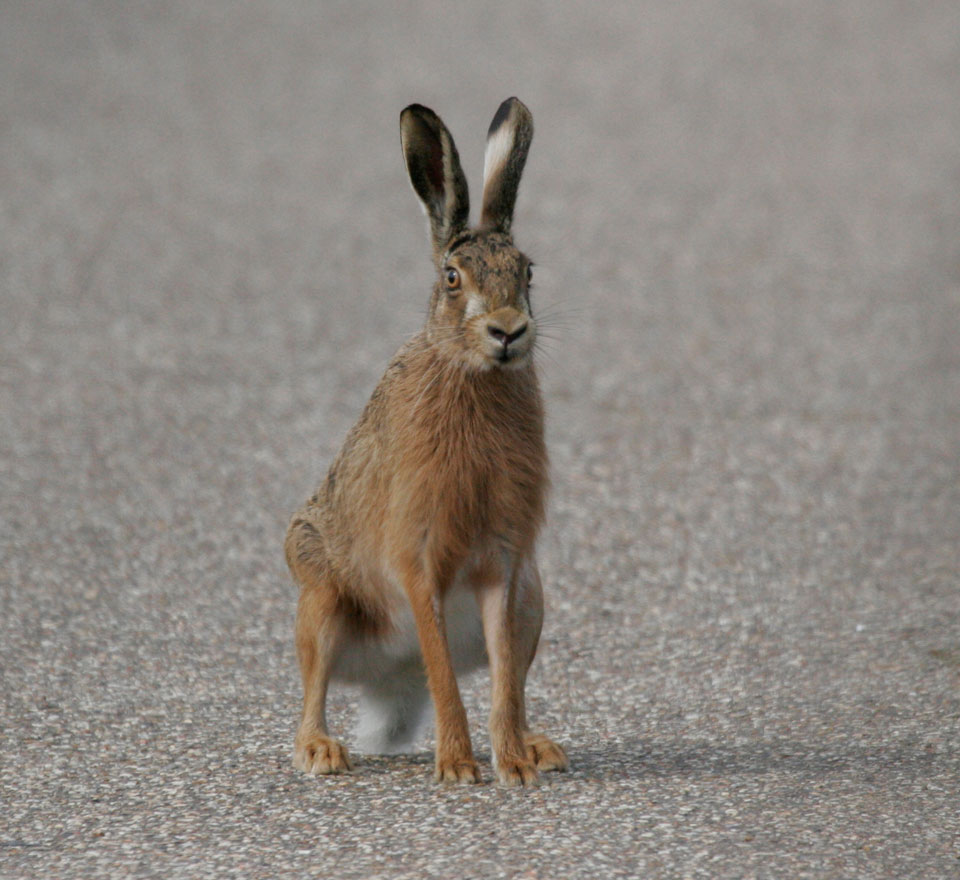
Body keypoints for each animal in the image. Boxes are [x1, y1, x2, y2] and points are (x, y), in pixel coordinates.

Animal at [284, 98, 568, 786]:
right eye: (452, 277)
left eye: (527, 272)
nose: (508, 331)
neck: (470, 371)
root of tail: (392, 679)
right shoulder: (418, 555)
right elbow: (444, 673)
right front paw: (460, 768)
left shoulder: (504, 559)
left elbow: (502, 679)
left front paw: (513, 767)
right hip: (322, 598)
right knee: (316, 685)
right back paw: (322, 751)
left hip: (534, 599)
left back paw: (539, 748)